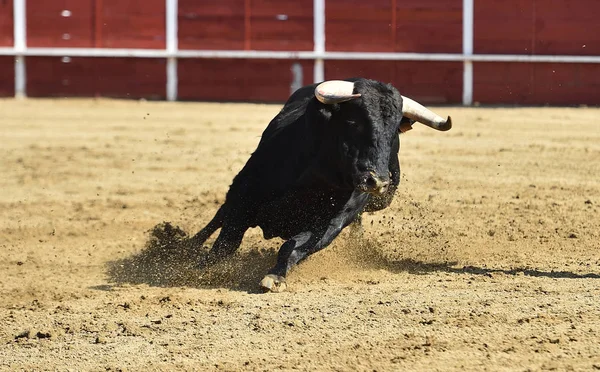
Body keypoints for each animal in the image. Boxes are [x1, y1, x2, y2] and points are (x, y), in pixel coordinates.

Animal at [189, 79, 450, 294]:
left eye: (394, 130)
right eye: (354, 122)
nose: (377, 182)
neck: (316, 178)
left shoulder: (330, 224)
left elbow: (293, 247)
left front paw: (275, 277)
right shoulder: (244, 196)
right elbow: (226, 243)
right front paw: (196, 266)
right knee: (218, 216)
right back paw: (186, 244)